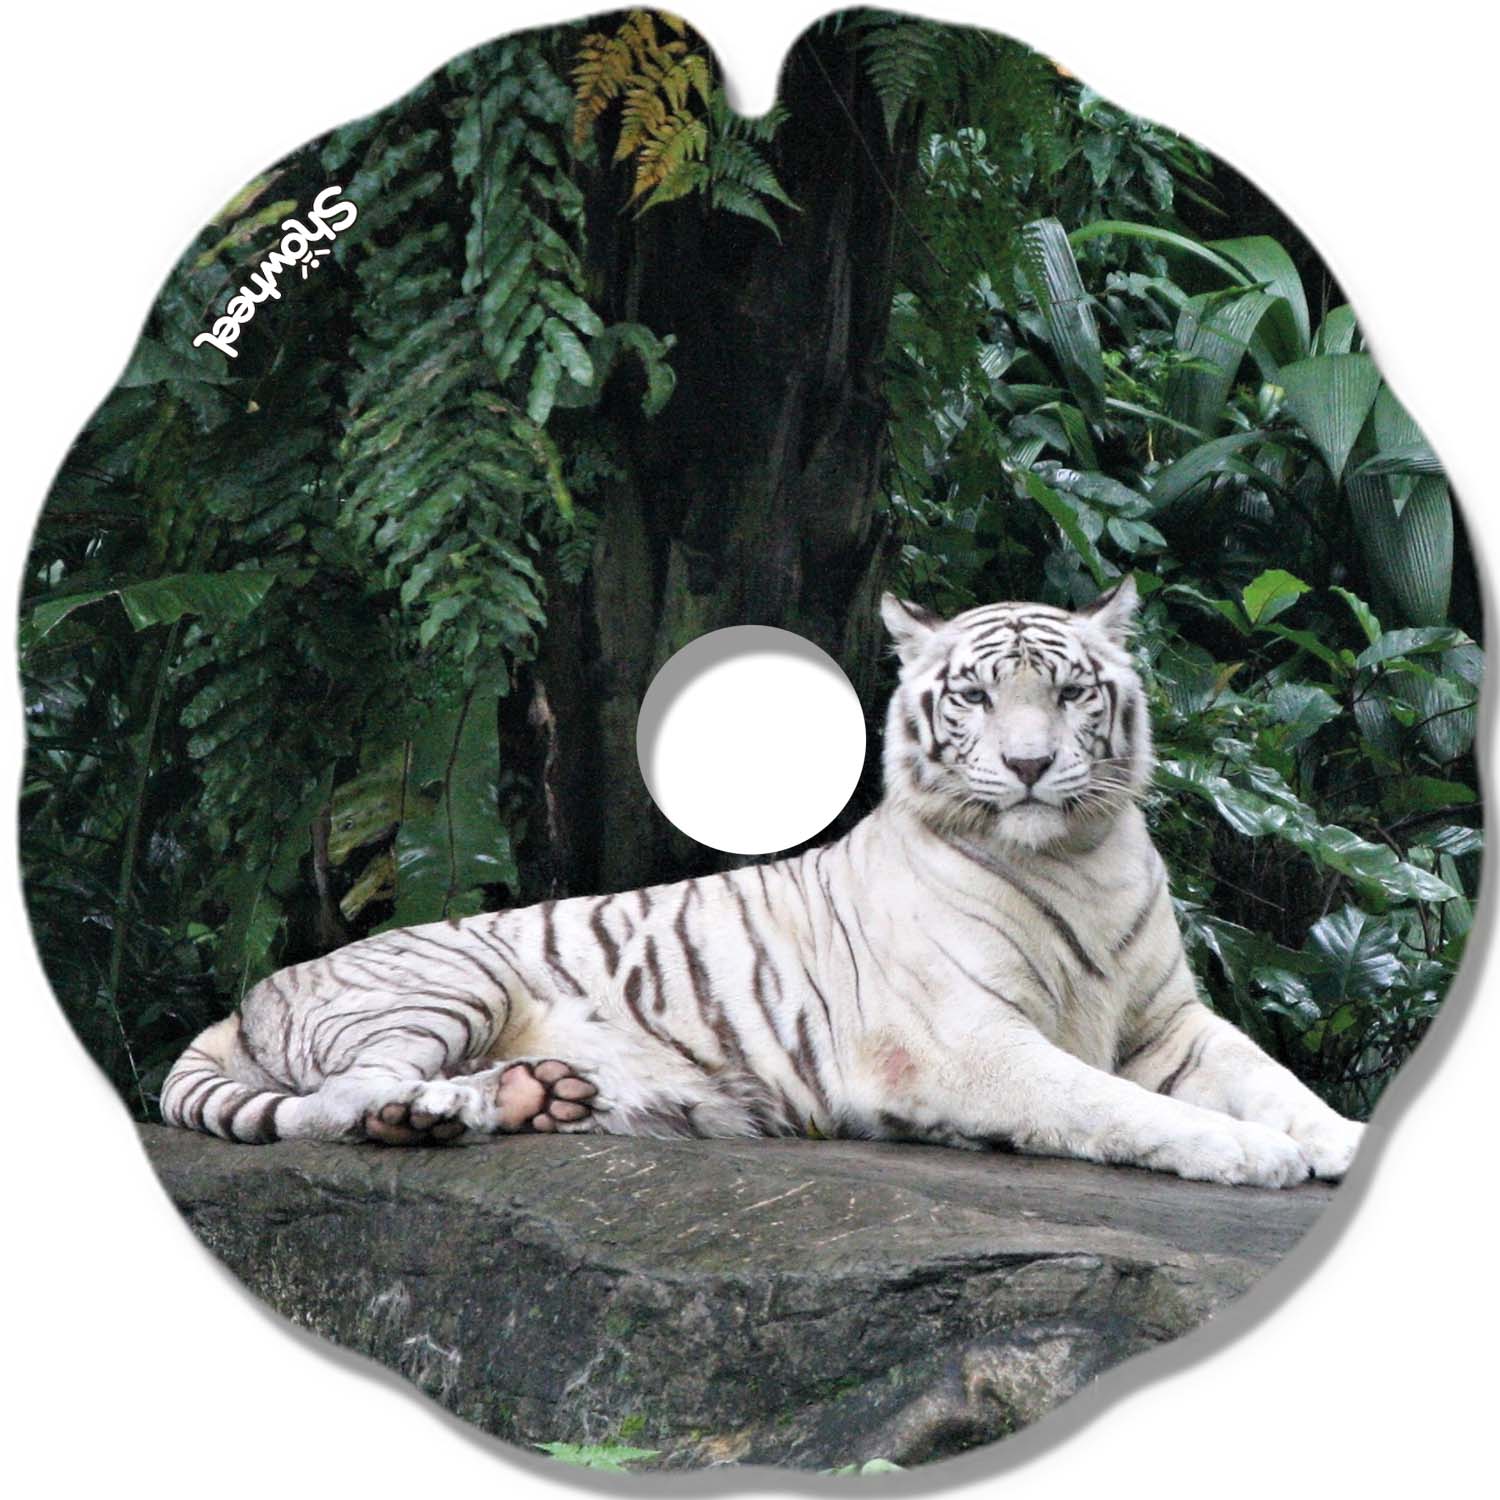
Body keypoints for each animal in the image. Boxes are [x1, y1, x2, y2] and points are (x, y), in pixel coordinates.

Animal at [161, 578, 1364, 1187]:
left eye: (1070, 693)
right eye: (976, 696)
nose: (1029, 766)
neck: (1077, 858)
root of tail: (250, 994)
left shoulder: (1172, 1026)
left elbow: (1277, 1080)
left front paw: (1342, 1142)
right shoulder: (976, 1045)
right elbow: (1113, 1106)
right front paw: (1250, 1155)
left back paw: (529, 1098)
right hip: (444, 984)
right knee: (340, 1103)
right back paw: (443, 1109)